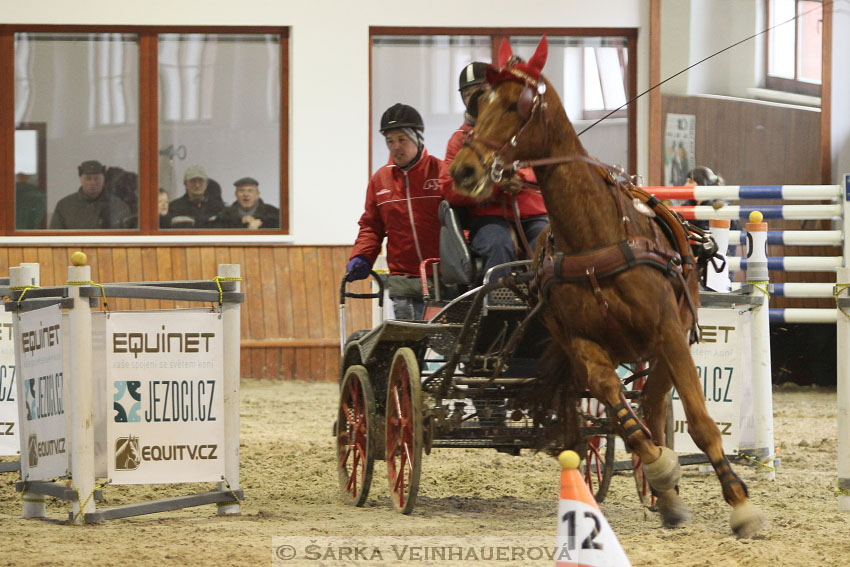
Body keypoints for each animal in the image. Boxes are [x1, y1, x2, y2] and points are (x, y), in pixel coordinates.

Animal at [448, 37, 764, 540]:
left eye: (517, 106)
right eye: (480, 106)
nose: (463, 171)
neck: (594, 238)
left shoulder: (669, 333)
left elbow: (699, 423)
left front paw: (740, 505)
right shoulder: (583, 344)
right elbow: (624, 418)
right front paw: (662, 470)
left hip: (666, 343)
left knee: (654, 405)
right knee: (620, 417)